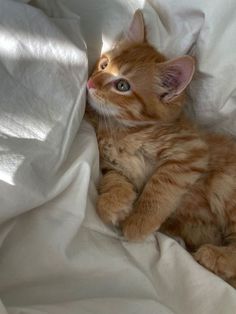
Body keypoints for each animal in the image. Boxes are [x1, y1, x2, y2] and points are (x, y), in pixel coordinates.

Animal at [87, 11, 236, 288]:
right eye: (103, 65)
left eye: (122, 86)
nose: (90, 82)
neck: (124, 130)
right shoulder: (111, 163)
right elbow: (114, 179)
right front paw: (113, 203)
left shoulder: (190, 153)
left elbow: (158, 188)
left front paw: (138, 222)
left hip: (225, 185)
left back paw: (213, 256)